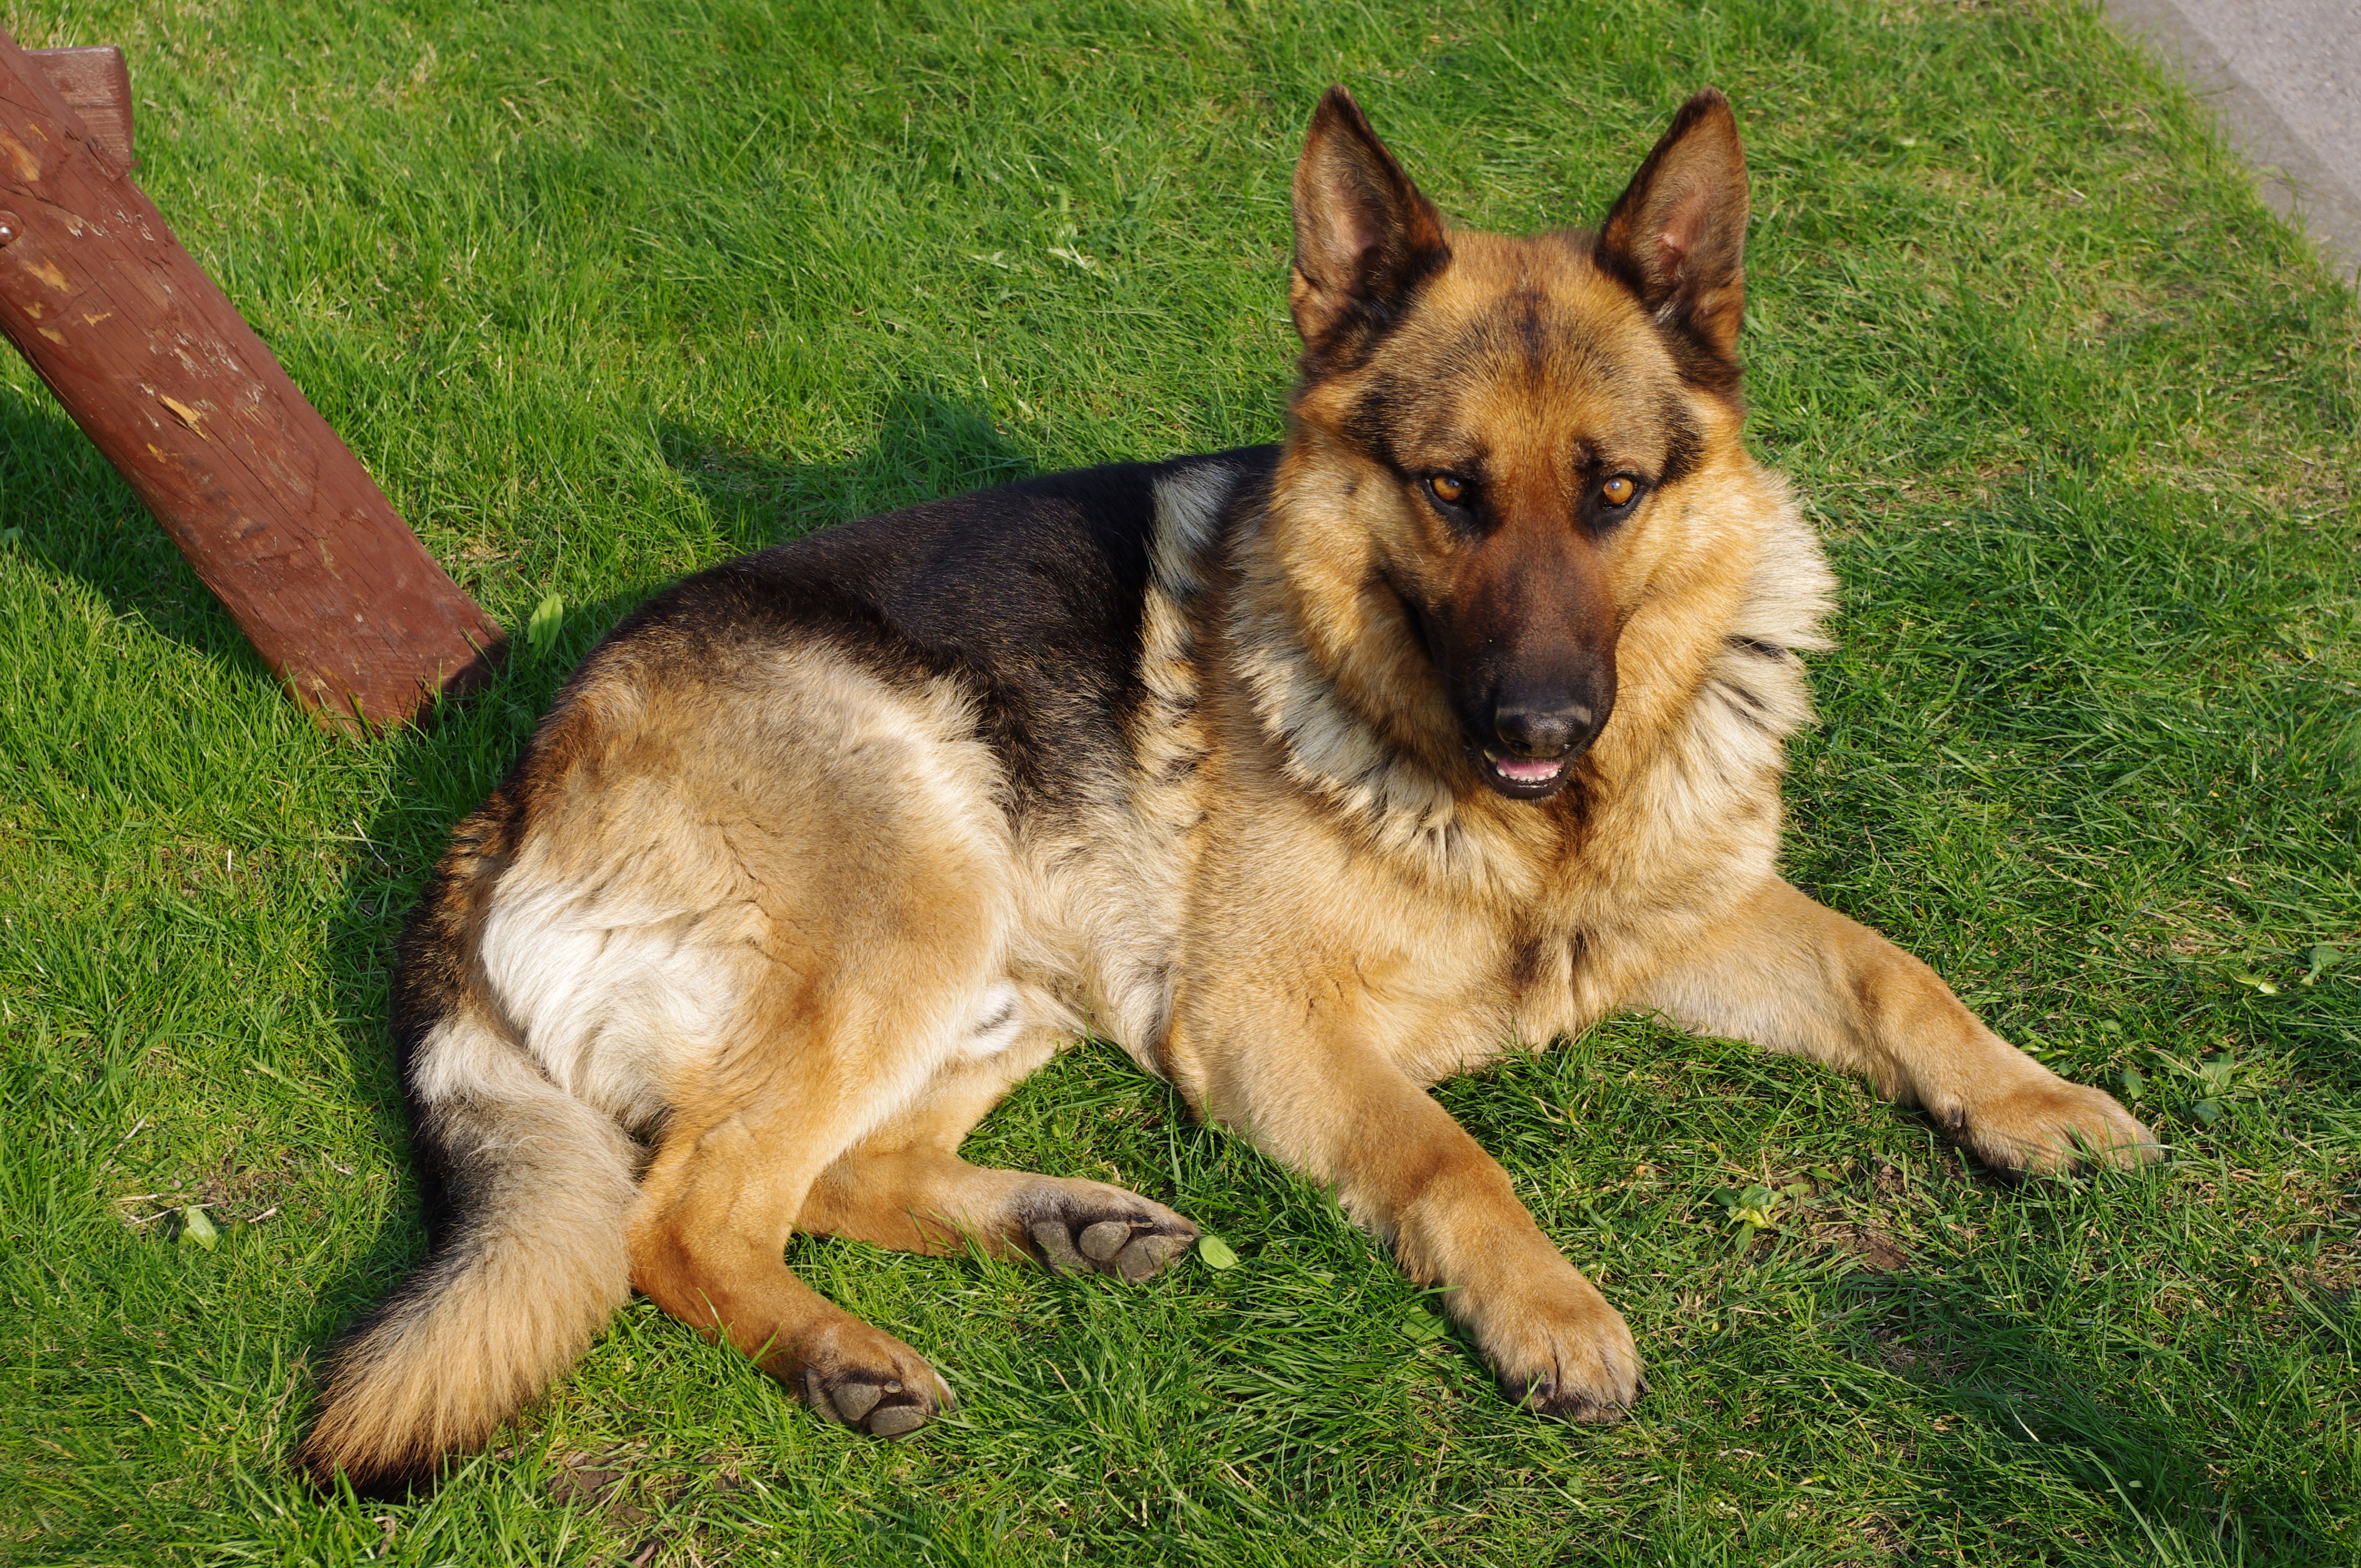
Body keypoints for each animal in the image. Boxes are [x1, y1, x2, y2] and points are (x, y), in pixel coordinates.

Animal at [295, 85, 2162, 1492]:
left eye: (1614, 492)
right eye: (1447, 489)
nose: (1546, 721)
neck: (1532, 828)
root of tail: (512, 787)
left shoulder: (1688, 915)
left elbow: (1891, 971)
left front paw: (2034, 1101)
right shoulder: (1268, 1019)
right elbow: (1445, 1153)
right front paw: (1550, 1309)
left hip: (1010, 979)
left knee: (811, 1174)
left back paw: (1060, 1226)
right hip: (928, 895)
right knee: (677, 1214)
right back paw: (844, 1354)